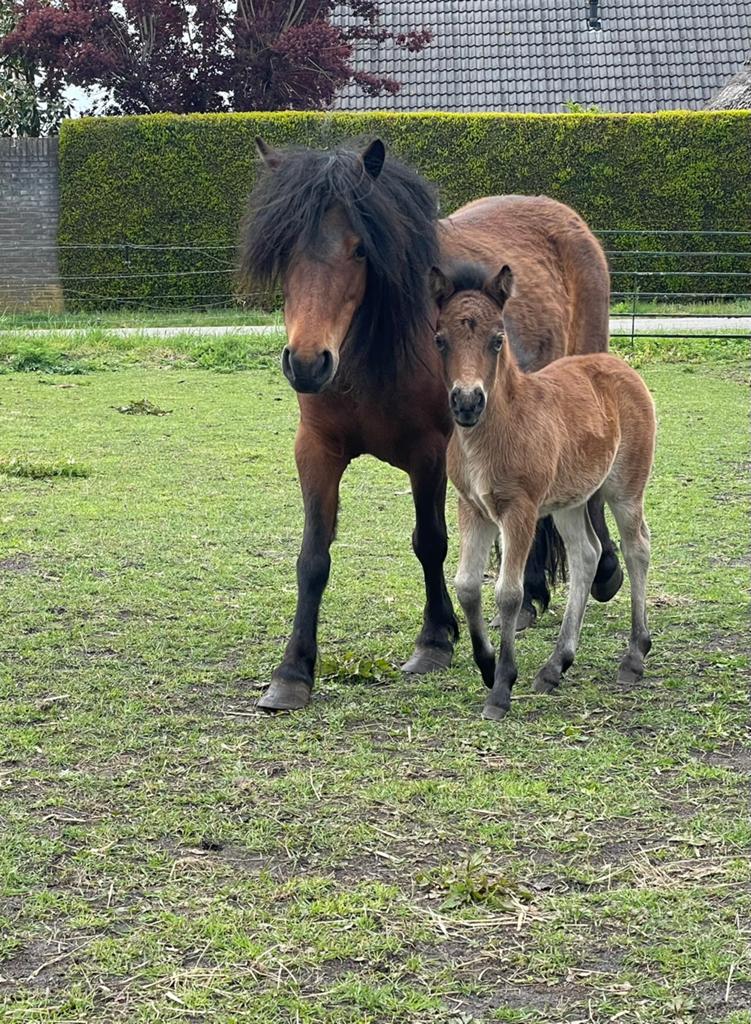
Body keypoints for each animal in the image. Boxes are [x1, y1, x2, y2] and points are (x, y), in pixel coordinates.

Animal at [240, 137, 622, 711]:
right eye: (285, 250)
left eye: (360, 249)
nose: (307, 362)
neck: (373, 352)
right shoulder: (317, 450)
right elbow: (313, 556)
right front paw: (292, 671)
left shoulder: (431, 453)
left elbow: (431, 541)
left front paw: (436, 640)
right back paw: (531, 598)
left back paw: (604, 573)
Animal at [430, 260, 655, 720]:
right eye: (440, 339)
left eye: (498, 339)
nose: (467, 402)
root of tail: (624, 369)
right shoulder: (472, 507)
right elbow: (466, 585)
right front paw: (487, 666)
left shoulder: (520, 509)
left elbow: (509, 594)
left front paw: (501, 688)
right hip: (571, 500)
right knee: (587, 555)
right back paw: (556, 666)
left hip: (624, 489)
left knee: (637, 547)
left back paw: (634, 656)